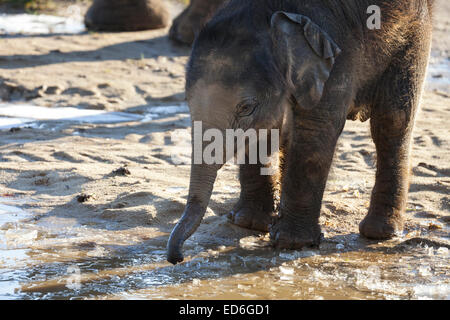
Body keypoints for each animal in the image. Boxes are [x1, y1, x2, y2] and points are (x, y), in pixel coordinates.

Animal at [167, 0, 434, 264]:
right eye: (187, 102)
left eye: (246, 108)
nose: (177, 257)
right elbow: (263, 133)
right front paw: (250, 223)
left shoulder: (336, 59)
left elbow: (314, 129)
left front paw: (291, 242)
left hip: (412, 35)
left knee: (392, 121)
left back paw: (380, 233)